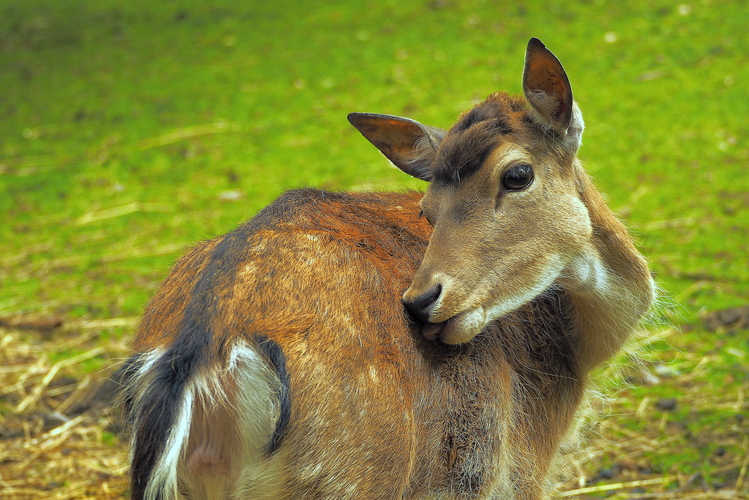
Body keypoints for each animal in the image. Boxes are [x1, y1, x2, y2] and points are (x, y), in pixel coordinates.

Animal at [120, 36, 652, 500]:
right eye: (427, 208)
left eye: (518, 175)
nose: (421, 301)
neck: (577, 353)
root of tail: (205, 353)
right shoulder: (519, 468)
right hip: (355, 473)